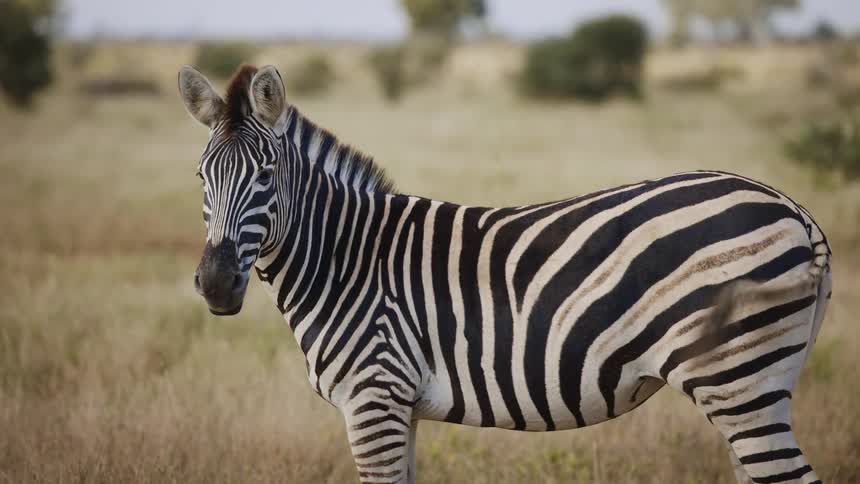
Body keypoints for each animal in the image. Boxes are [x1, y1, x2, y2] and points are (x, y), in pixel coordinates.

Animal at [178, 63, 832, 484]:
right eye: (200, 177)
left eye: (266, 176)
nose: (216, 285)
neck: (346, 260)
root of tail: (793, 209)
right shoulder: (399, 406)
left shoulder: (373, 398)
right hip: (752, 382)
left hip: (738, 379)